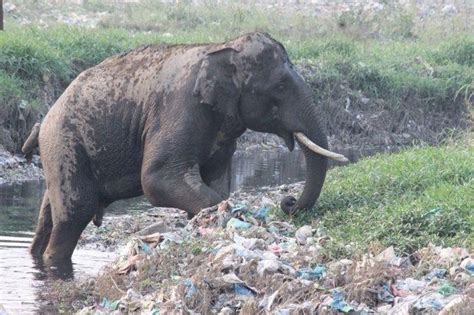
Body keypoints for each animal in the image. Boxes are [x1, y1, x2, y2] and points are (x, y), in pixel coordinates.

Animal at [24, 32, 346, 266]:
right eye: (280, 85)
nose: (288, 202)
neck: (222, 47)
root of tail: (45, 119)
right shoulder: (180, 109)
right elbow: (157, 179)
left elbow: (216, 182)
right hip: (66, 144)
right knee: (75, 212)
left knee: (48, 213)